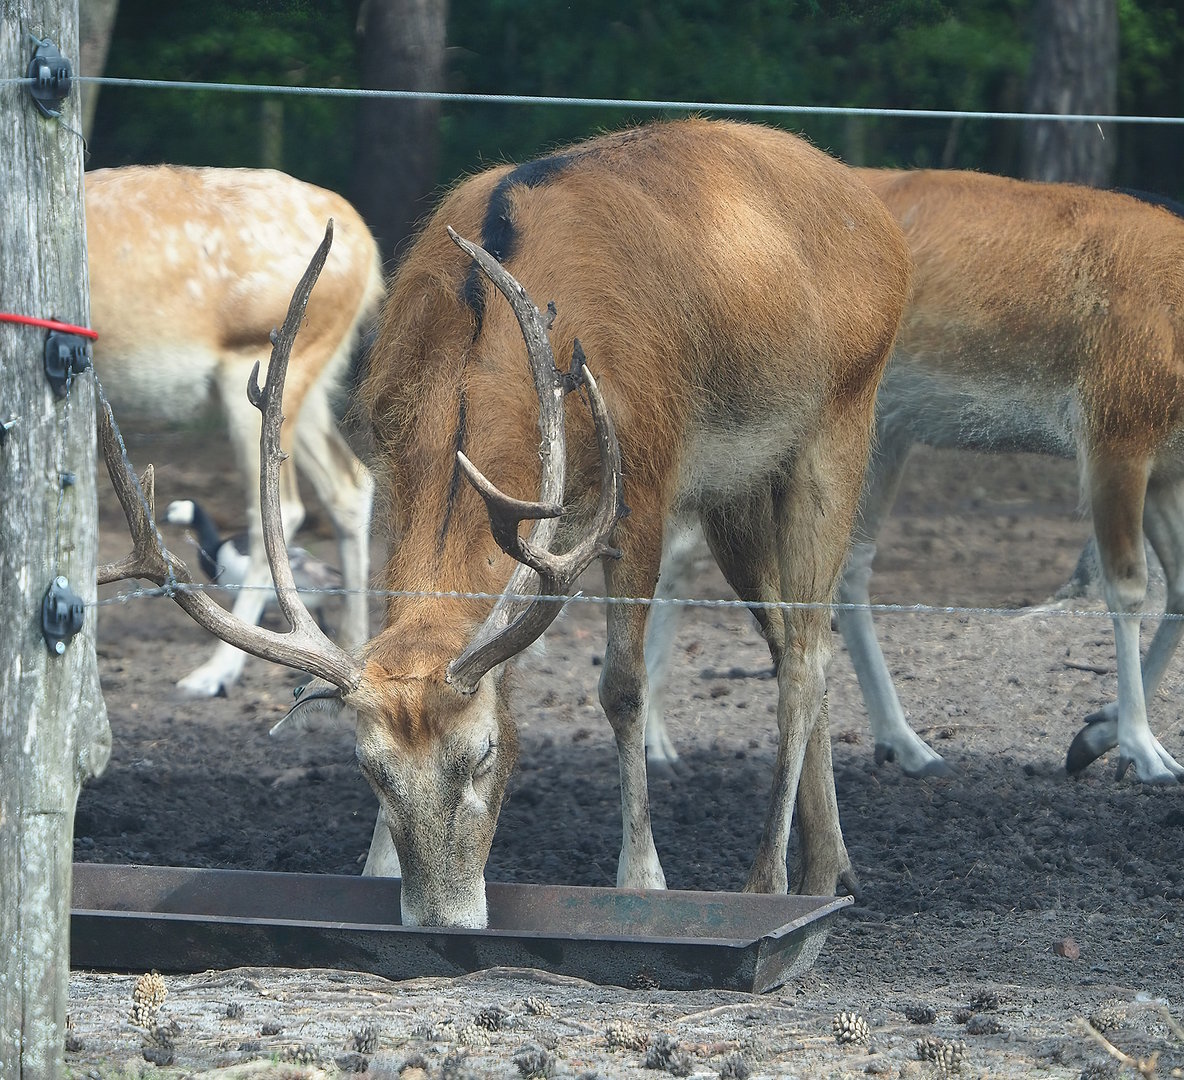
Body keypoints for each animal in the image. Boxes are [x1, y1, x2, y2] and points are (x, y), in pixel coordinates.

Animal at [87, 165, 381, 696]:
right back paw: (352, 650)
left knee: (281, 504)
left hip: (259, 364)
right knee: (350, 482)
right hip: (309, 381)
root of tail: (369, 252)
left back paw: (214, 672)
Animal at [643, 170, 1184, 787]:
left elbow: (1181, 585)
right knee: (677, 549)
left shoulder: (1166, 465)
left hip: (877, 435)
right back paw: (656, 744)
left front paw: (1094, 736)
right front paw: (1144, 751)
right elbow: (1129, 587)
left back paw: (908, 745)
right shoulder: (1116, 429)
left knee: (846, 566)